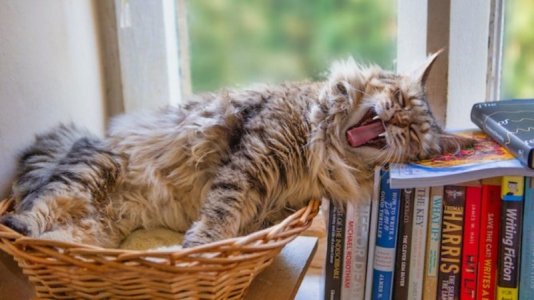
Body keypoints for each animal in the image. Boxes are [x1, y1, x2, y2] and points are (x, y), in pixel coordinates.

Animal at [0, 52, 474, 248]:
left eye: (411, 134)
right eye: (398, 100)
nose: (394, 122)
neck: (323, 147)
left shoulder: (277, 196)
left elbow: (240, 216)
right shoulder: (252, 157)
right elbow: (223, 208)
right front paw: (200, 244)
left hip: (95, 224)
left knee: (64, 236)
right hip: (87, 172)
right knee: (42, 204)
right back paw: (19, 224)